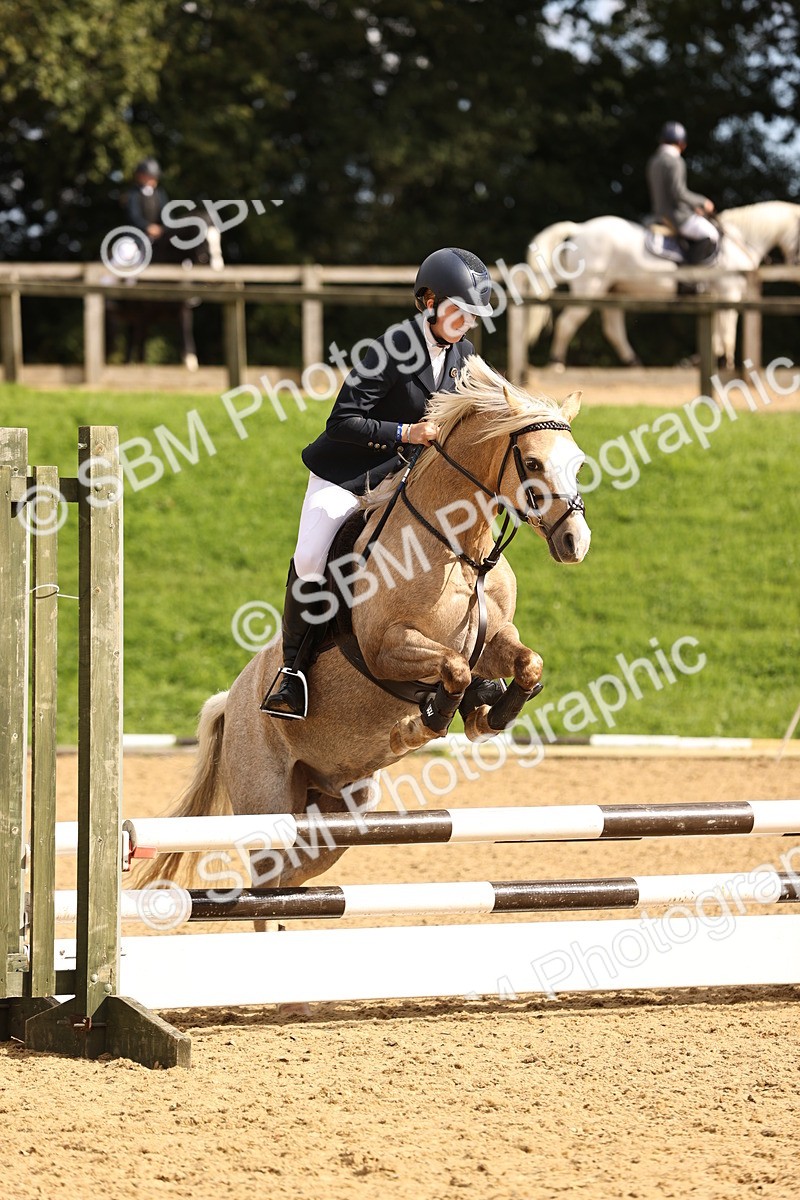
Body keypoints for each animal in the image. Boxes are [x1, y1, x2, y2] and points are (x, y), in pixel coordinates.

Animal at [104, 220, 223, 371]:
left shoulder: (183, 310)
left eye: (219, 239)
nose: (216, 275)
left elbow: (186, 334)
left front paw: (190, 363)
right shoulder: (143, 316)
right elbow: (142, 348)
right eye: (202, 240)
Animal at [136, 356, 592, 894]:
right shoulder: (385, 647)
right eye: (534, 464)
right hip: (267, 798)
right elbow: (453, 669)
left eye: (578, 463)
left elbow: (526, 662)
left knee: (289, 876)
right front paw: (420, 726)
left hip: (336, 814)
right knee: (265, 877)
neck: (458, 548)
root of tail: (232, 701)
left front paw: (489, 716)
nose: (575, 542)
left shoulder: (496, 638)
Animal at [524, 213, 764, 371]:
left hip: (611, 293)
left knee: (613, 330)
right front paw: (726, 364)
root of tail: (580, 228)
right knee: (567, 323)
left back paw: (634, 362)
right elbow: (727, 331)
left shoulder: (718, 299)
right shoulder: (729, 292)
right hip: (589, 289)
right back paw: (556, 363)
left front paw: (699, 361)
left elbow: (717, 334)